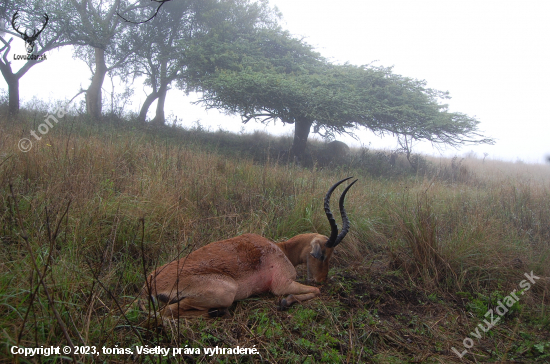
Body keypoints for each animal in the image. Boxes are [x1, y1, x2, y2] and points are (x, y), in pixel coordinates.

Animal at [141, 178, 358, 318]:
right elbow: (314, 292)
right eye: (322, 255)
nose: (321, 279)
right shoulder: (282, 284)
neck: (280, 249)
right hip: (226, 292)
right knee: (166, 312)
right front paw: (285, 302)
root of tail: (149, 284)